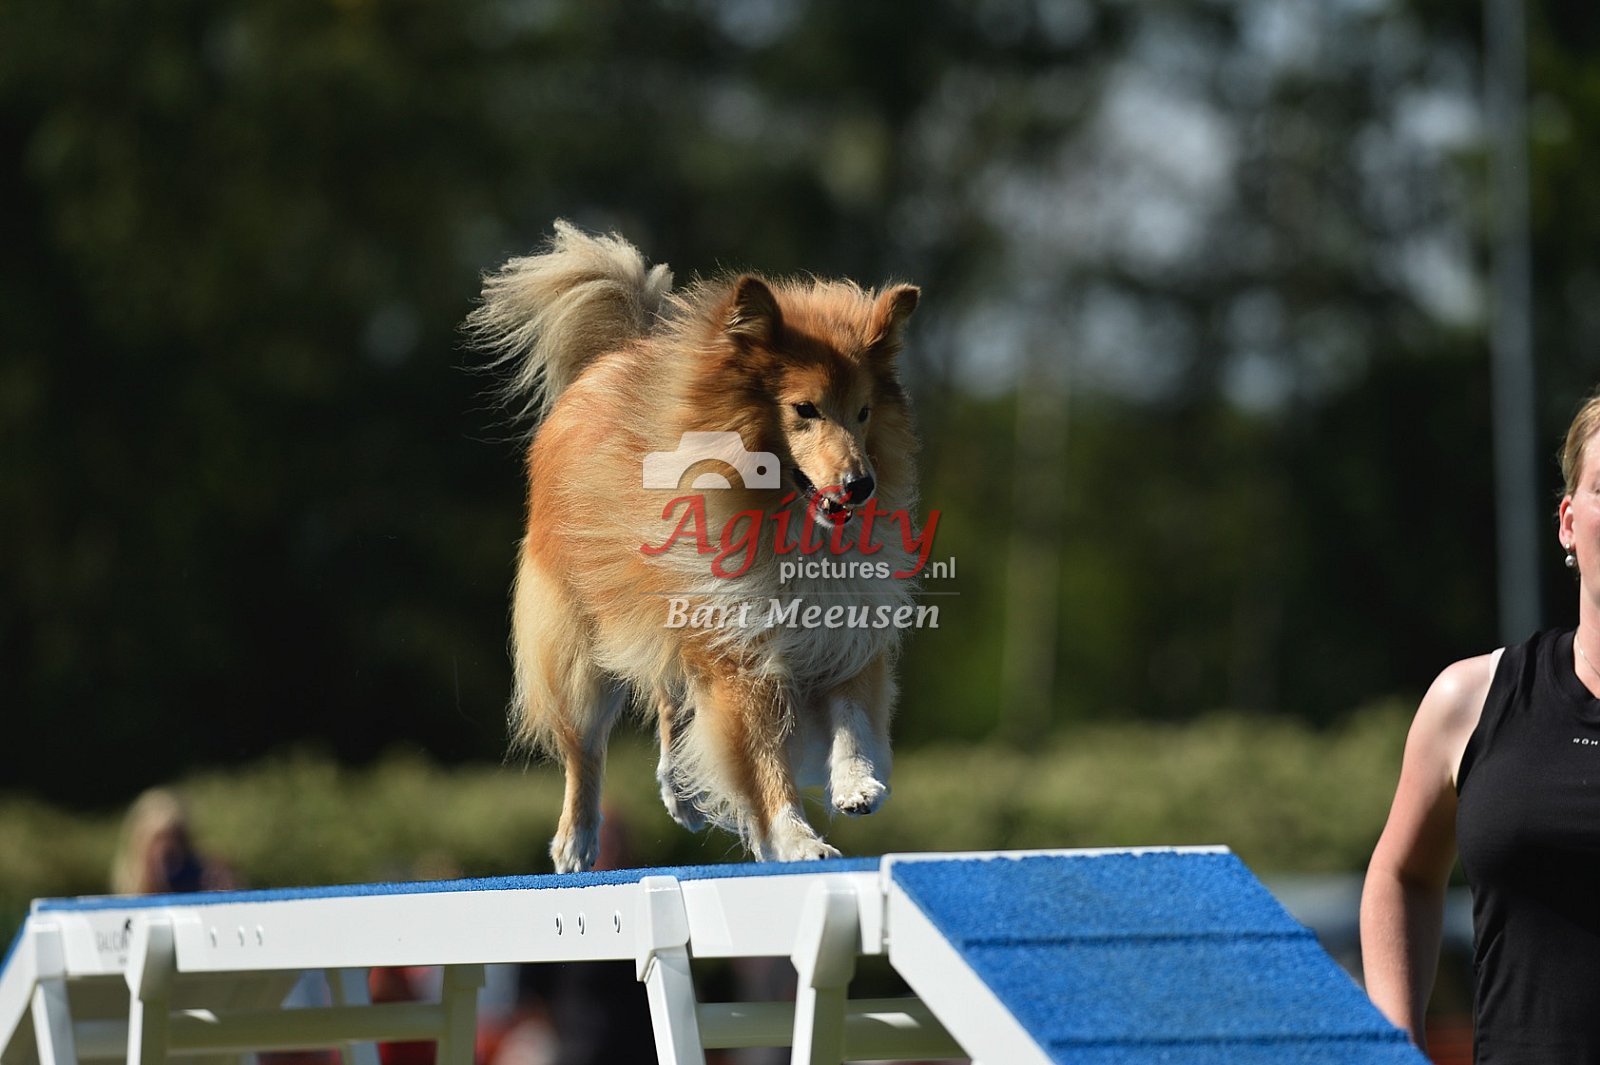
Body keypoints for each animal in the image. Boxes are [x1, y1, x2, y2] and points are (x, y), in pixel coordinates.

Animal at [467, 221, 924, 872]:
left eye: (863, 412)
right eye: (804, 409)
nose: (861, 486)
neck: (786, 523)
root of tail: (614, 355)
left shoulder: (838, 628)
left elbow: (854, 714)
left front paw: (857, 784)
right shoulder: (738, 653)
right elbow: (761, 760)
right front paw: (797, 839)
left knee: (668, 700)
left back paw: (682, 793)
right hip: (579, 641)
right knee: (585, 747)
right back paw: (577, 843)